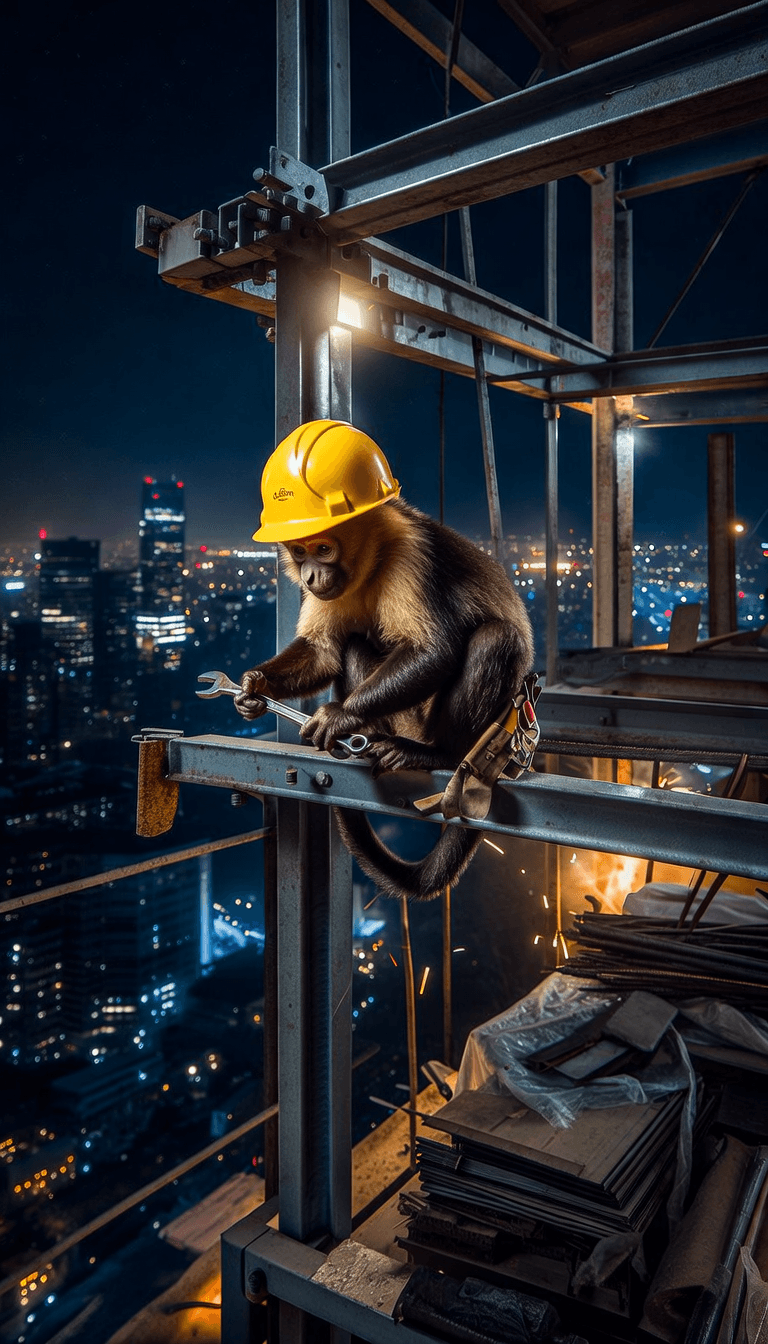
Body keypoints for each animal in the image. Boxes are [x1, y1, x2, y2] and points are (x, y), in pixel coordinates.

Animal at [234, 494, 534, 901]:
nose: (310, 576)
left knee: (497, 638)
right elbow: (322, 652)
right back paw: (368, 738)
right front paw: (255, 686)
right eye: (299, 552)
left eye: (324, 549)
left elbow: (434, 651)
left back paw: (439, 753)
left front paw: (341, 716)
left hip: (447, 723)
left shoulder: (410, 552)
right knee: (352, 643)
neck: (372, 560)